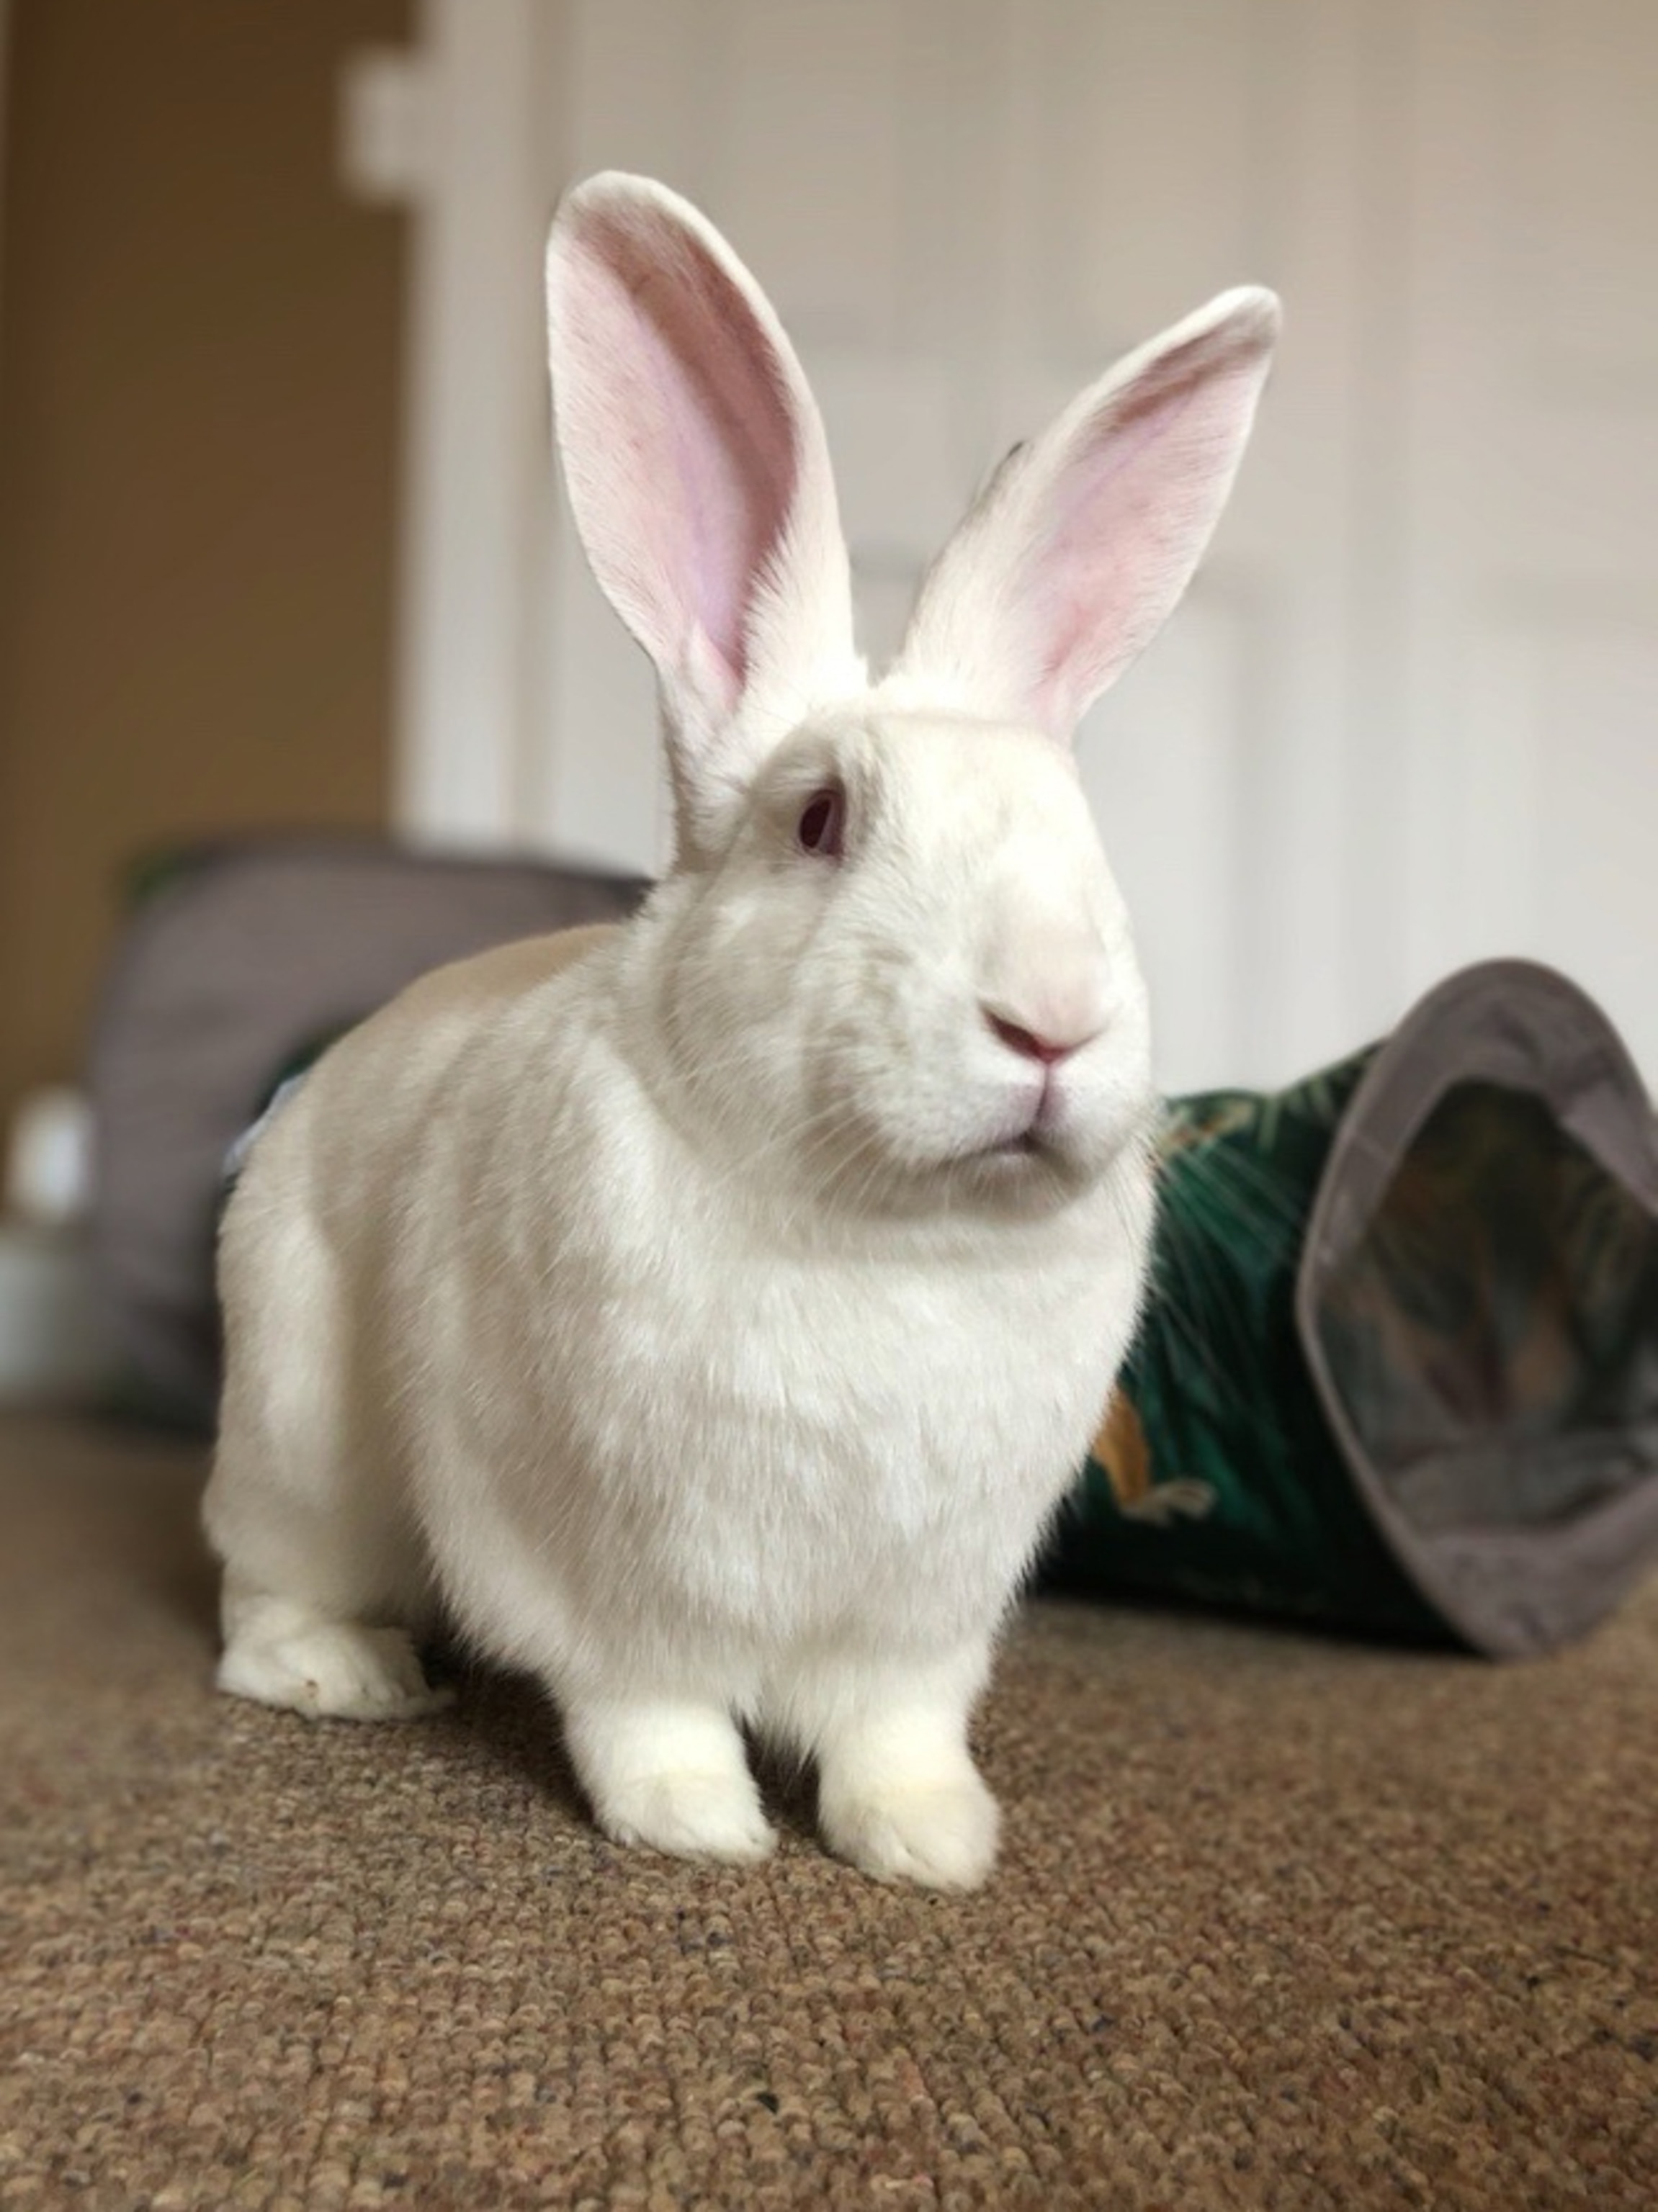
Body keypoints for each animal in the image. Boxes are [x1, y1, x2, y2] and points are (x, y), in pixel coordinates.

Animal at [203, 172, 1278, 1890]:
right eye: (819, 819)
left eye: (1081, 833)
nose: (1049, 1019)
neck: (889, 1236)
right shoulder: (603, 1574)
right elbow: (646, 1703)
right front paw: (696, 1827)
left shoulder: (921, 1620)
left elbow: (896, 1730)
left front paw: (932, 1845)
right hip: (300, 1434)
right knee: (263, 1592)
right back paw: (349, 1679)